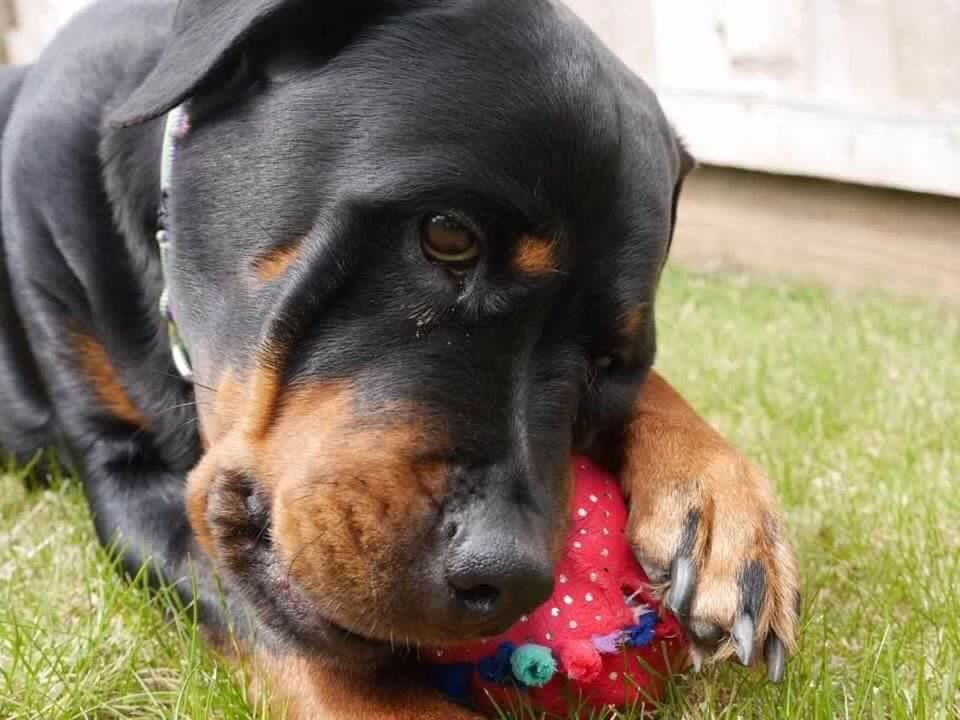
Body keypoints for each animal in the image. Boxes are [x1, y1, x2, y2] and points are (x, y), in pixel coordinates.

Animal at [0, 2, 800, 716]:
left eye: (609, 363)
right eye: (448, 235)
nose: (510, 579)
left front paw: (720, 503)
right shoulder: (125, 475)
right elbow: (302, 641)